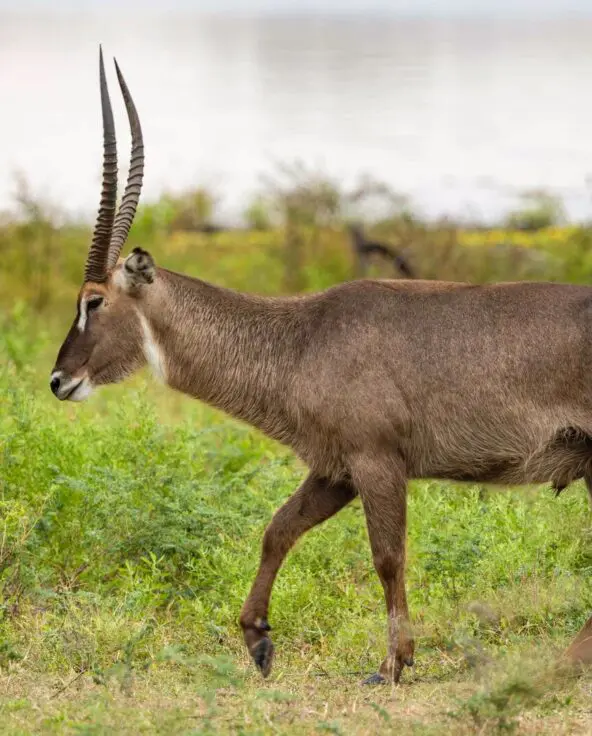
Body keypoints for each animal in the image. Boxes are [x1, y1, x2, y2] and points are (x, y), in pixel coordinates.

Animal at [51, 48, 592, 685]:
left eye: (94, 301)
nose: (59, 380)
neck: (299, 337)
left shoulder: (376, 461)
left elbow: (387, 557)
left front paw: (393, 663)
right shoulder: (335, 470)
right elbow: (278, 529)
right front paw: (258, 640)